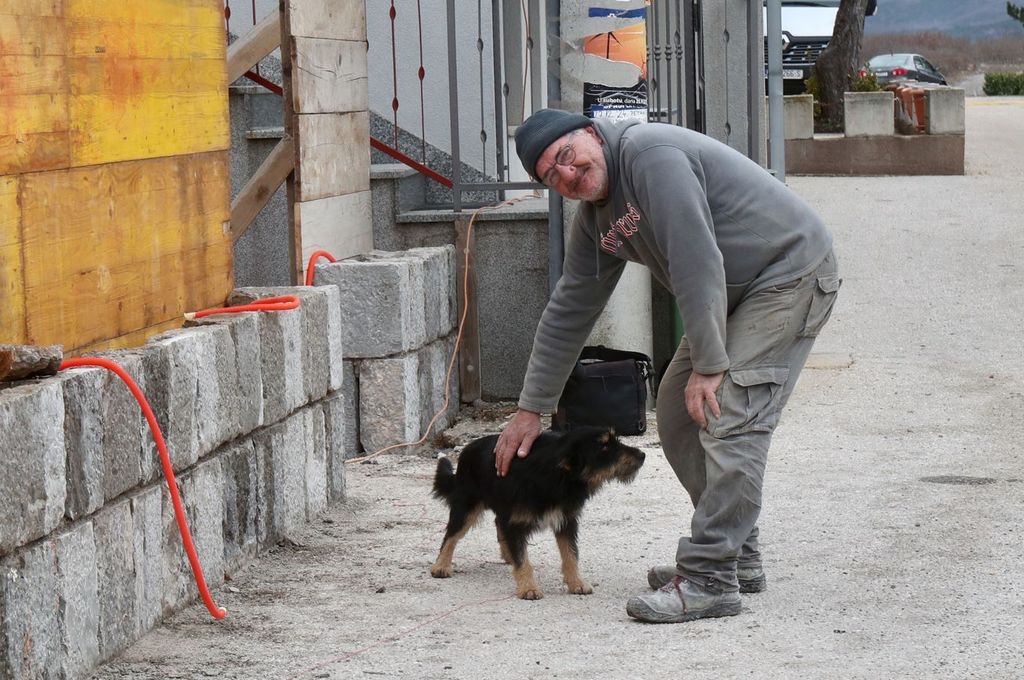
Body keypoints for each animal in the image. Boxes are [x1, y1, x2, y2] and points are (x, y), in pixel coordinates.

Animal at [430, 428, 638, 598]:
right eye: (604, 447)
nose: (642, 455)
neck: (556, 477)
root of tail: (466, 450)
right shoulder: (515, 522)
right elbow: (523, 559)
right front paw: (528, 588)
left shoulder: (566, 521)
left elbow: (571, 554)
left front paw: (577, 583)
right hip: (466, 507)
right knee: (451, 535)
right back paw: (441, 566)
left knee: (498, 522)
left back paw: (508, 554)